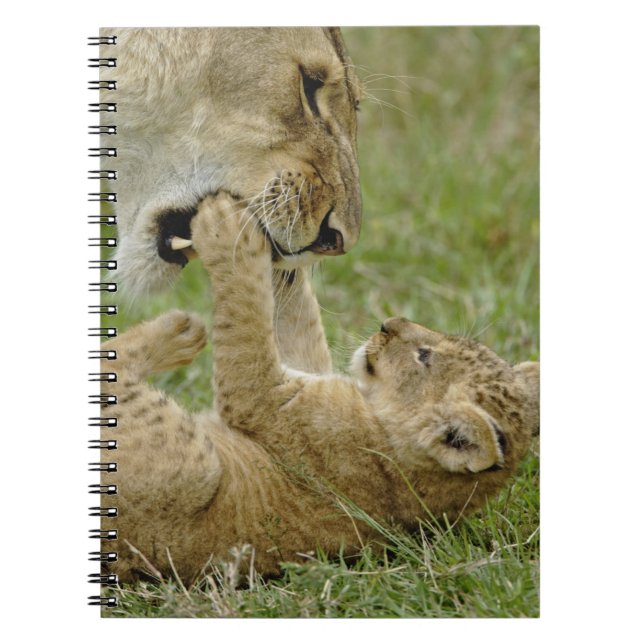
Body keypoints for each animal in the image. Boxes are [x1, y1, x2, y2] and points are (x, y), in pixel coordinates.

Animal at [101, 194, 540, 583]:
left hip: (192, 468)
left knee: (115, 371)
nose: (388, 323)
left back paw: (179, 330)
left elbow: (247, 325)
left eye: (424, 355)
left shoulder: (268, 400)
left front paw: (227, 226)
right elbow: (297, 320)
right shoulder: (307, 373)